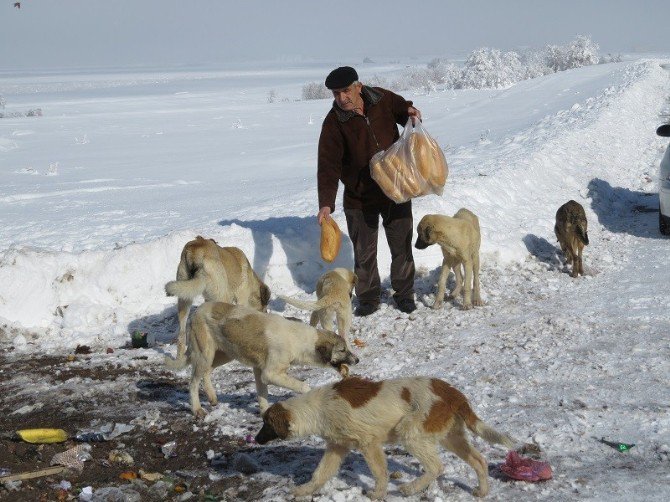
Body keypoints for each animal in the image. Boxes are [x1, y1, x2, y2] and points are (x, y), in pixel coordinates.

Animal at [165, 304, 360, 418]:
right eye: (342, 350)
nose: (357, 360)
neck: (300, 339)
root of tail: (196, 311)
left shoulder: (259, 371)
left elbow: (262, 395)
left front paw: (265, 413)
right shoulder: (269, 374)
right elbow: (302, 385)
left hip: (223, 354)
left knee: (207, 372)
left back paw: (212, 397)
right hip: (205, 355)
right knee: (192, 382)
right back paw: (197, 408)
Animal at [255, 376, 524, 498]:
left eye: (266, 424)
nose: (256, 440)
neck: (318, 408)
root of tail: (451, 391)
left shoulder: (368, 443)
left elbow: (379, 472)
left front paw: (377, 494)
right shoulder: (337, 447)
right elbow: (320, 473)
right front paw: (304, 490)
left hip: (411, 434)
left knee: (436, 466)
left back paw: (410, 488)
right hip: (452, 437)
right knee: (479, 461)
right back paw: (482, 492)